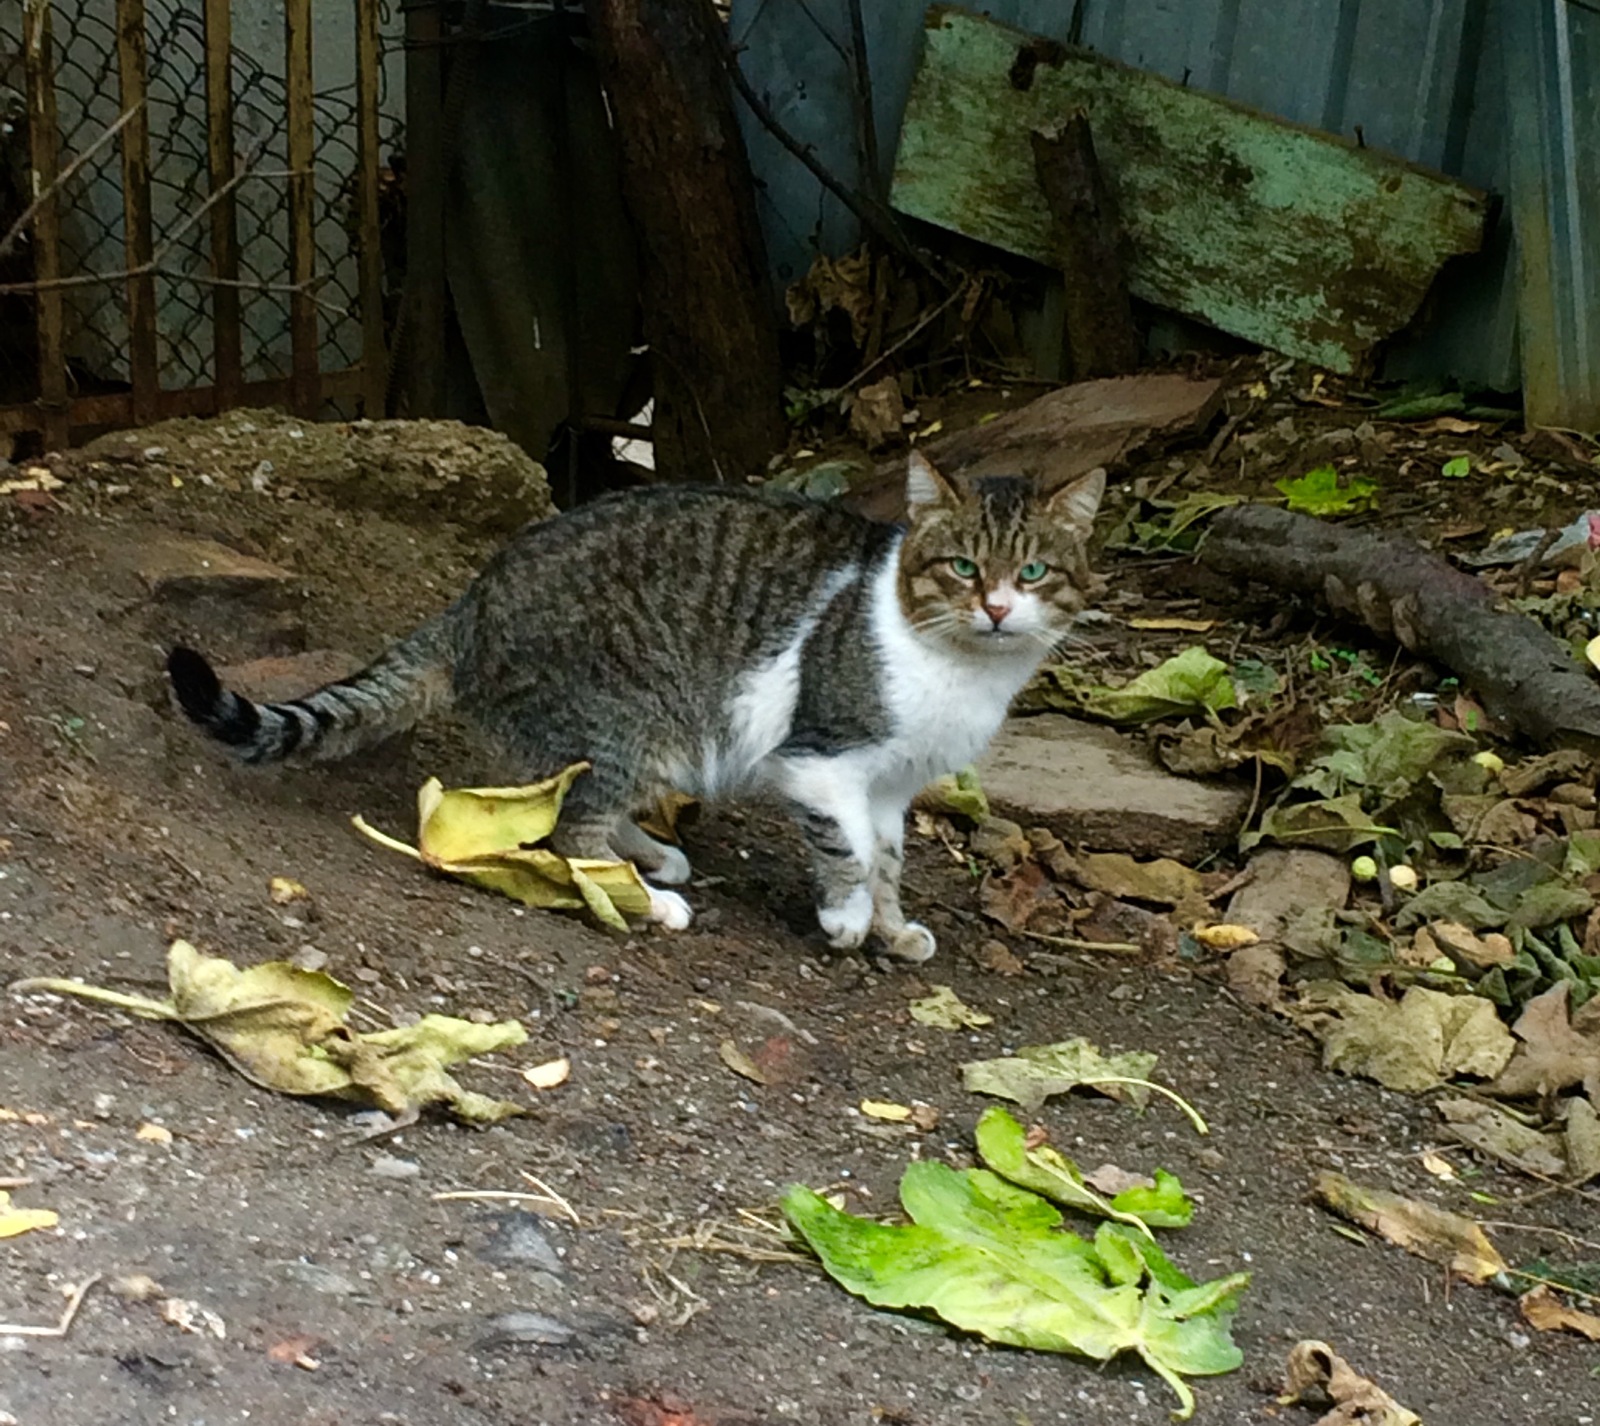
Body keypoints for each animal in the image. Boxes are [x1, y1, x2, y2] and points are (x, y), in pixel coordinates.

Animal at [168, 451, 1107, 966]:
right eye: (962, 567)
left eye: (1032, 573)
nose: (996, 608)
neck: (958, 670)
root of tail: (472, 601)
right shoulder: (824, 761)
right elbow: (845, 848)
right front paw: (844, 919)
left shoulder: (892, 786)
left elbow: (888, 860)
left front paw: (893, 927)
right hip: (629, 713)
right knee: (572, 830)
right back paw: (647, 900)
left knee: (584, 804)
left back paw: (654, 858)